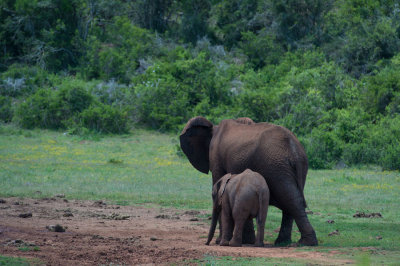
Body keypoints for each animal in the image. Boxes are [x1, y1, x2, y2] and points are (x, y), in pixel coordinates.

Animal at [180, 117, 318, 246]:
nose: (207, 243)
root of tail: (294, 148)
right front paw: (247, 241)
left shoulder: (216, 158)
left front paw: (221, 242)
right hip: (294, 167)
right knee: (291, 200)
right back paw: (285, 242)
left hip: (276, 167)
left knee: (290, 200)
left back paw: (303, 243)